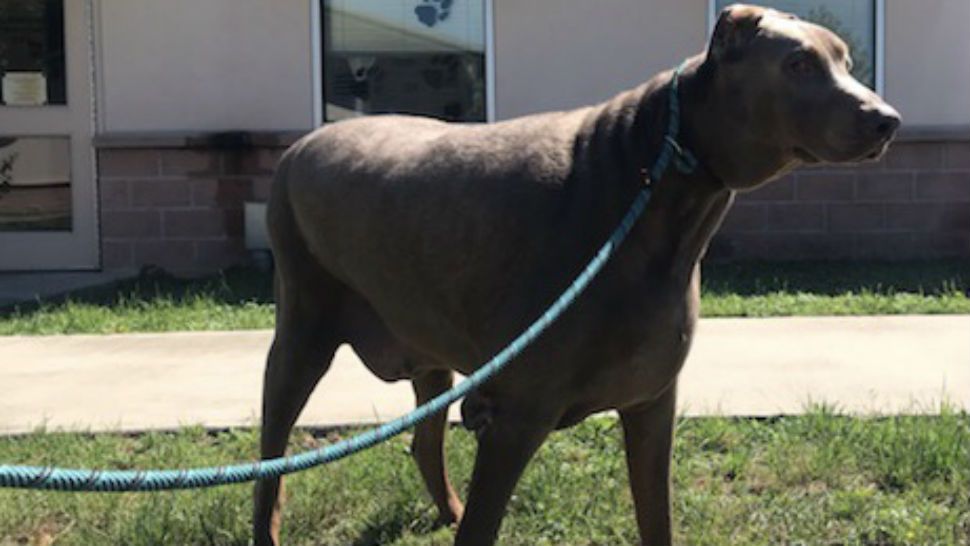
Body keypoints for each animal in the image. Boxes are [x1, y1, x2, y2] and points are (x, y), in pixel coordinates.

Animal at [251, 5, 900, 544]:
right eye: (797, 63)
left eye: (844, 60)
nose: (887, 120)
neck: (648, 189)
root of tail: (298, 149)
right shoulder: (516, 418)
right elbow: (484, 525)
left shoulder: (652, 403)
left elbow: (656, 517)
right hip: (302, 327)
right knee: (271, 460)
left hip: (427, 348)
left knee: (422, 439)